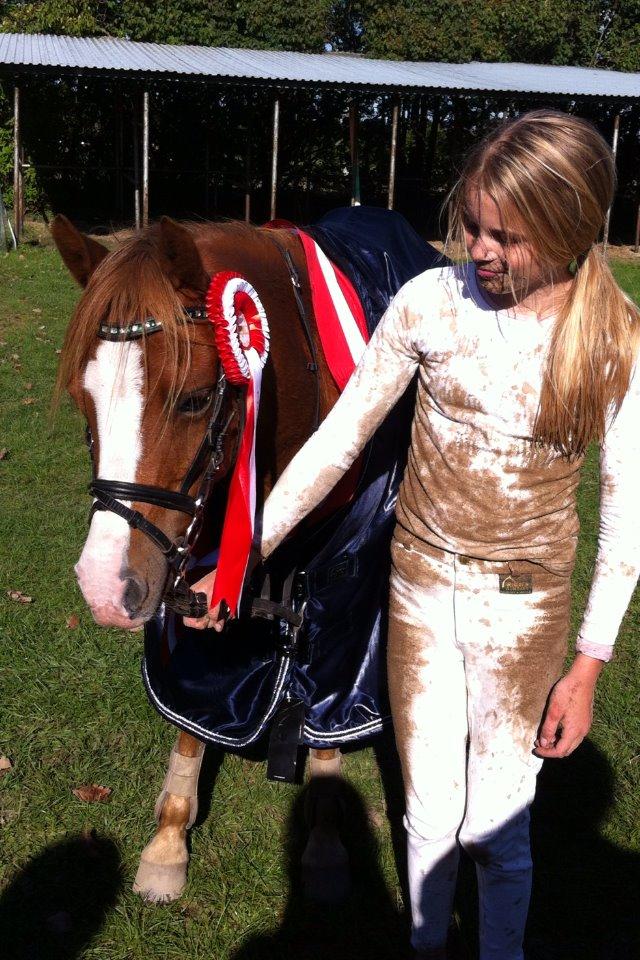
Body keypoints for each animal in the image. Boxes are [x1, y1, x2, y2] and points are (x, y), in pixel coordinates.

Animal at [52, 214, 348, 904]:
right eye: (83, 399)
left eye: (191, 399)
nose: (104, 588)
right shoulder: (195, 569)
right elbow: (193, 708)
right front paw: (168, 839)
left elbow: (329, 696)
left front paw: (326, 838)